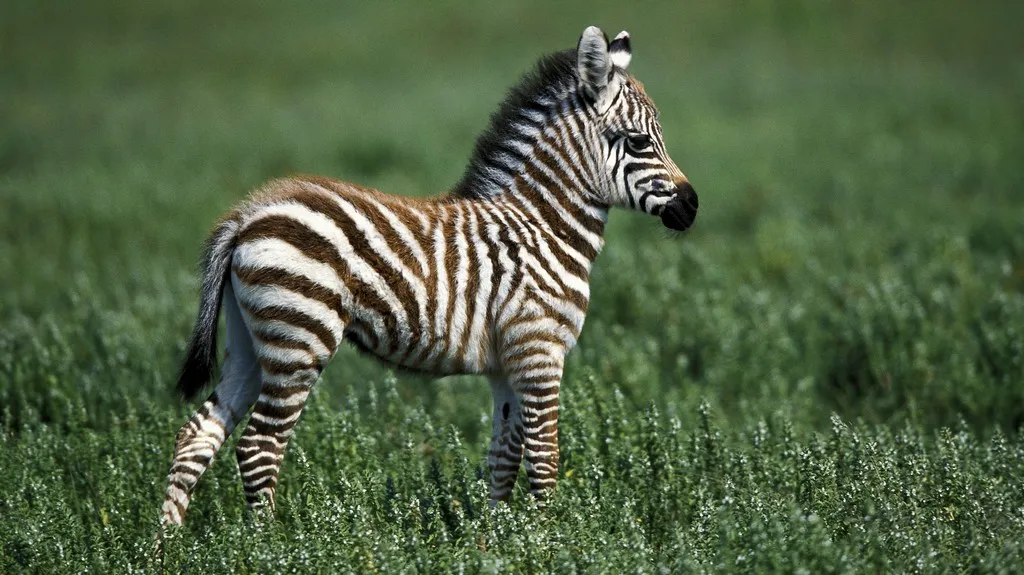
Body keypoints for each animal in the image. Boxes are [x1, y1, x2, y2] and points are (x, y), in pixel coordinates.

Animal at [161, 25, 698, 526]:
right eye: (639, 141)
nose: (692, 207)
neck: (543, 225)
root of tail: (247, 215)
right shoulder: (539, 350)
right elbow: (545, 460)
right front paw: (553, 542)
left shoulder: (508, 364)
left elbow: (505, 458)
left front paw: (500, 540)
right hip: (300, 337)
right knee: (258, 447)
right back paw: (270, 547)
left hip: (251, 340)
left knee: (197, 434)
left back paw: (169, 547)